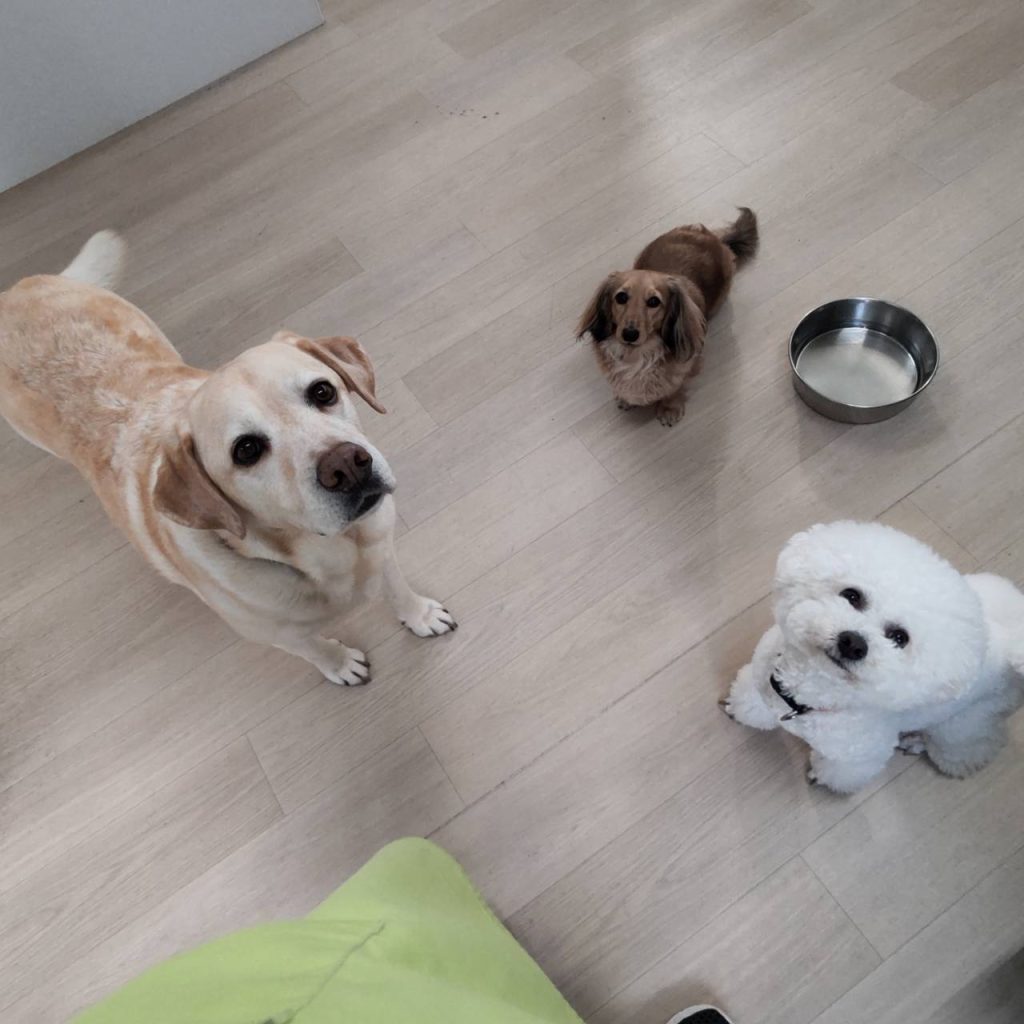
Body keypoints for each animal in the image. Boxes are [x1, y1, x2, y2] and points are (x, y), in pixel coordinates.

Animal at [0, 231, 455, 686]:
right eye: (247, 450)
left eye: (323, 391)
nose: (345, 465)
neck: (336, 552)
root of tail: (15, 291)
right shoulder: (277, 634)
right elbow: (316, 649)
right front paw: (340, 664)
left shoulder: (382, 548)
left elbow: (398, 590)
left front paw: (420, 615)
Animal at [576, 208, 757, 426]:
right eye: (621, 297)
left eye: (654, 301)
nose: (629, 334)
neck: (637, 355)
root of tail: (711, 237)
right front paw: (625, 398)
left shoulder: (686, 369)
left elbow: (674, 389)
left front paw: (669, 408)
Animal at [723, 521, 1024, 794]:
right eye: (852, 595)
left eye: (899, 637)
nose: (853, 643)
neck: (807, 698)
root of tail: (1011, 644)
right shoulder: (759, 680)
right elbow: (750, 704)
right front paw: (736, 709)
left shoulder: (858, 757)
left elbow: (840, 771)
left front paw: (821, 778)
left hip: (965, 721)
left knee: (970, 746)